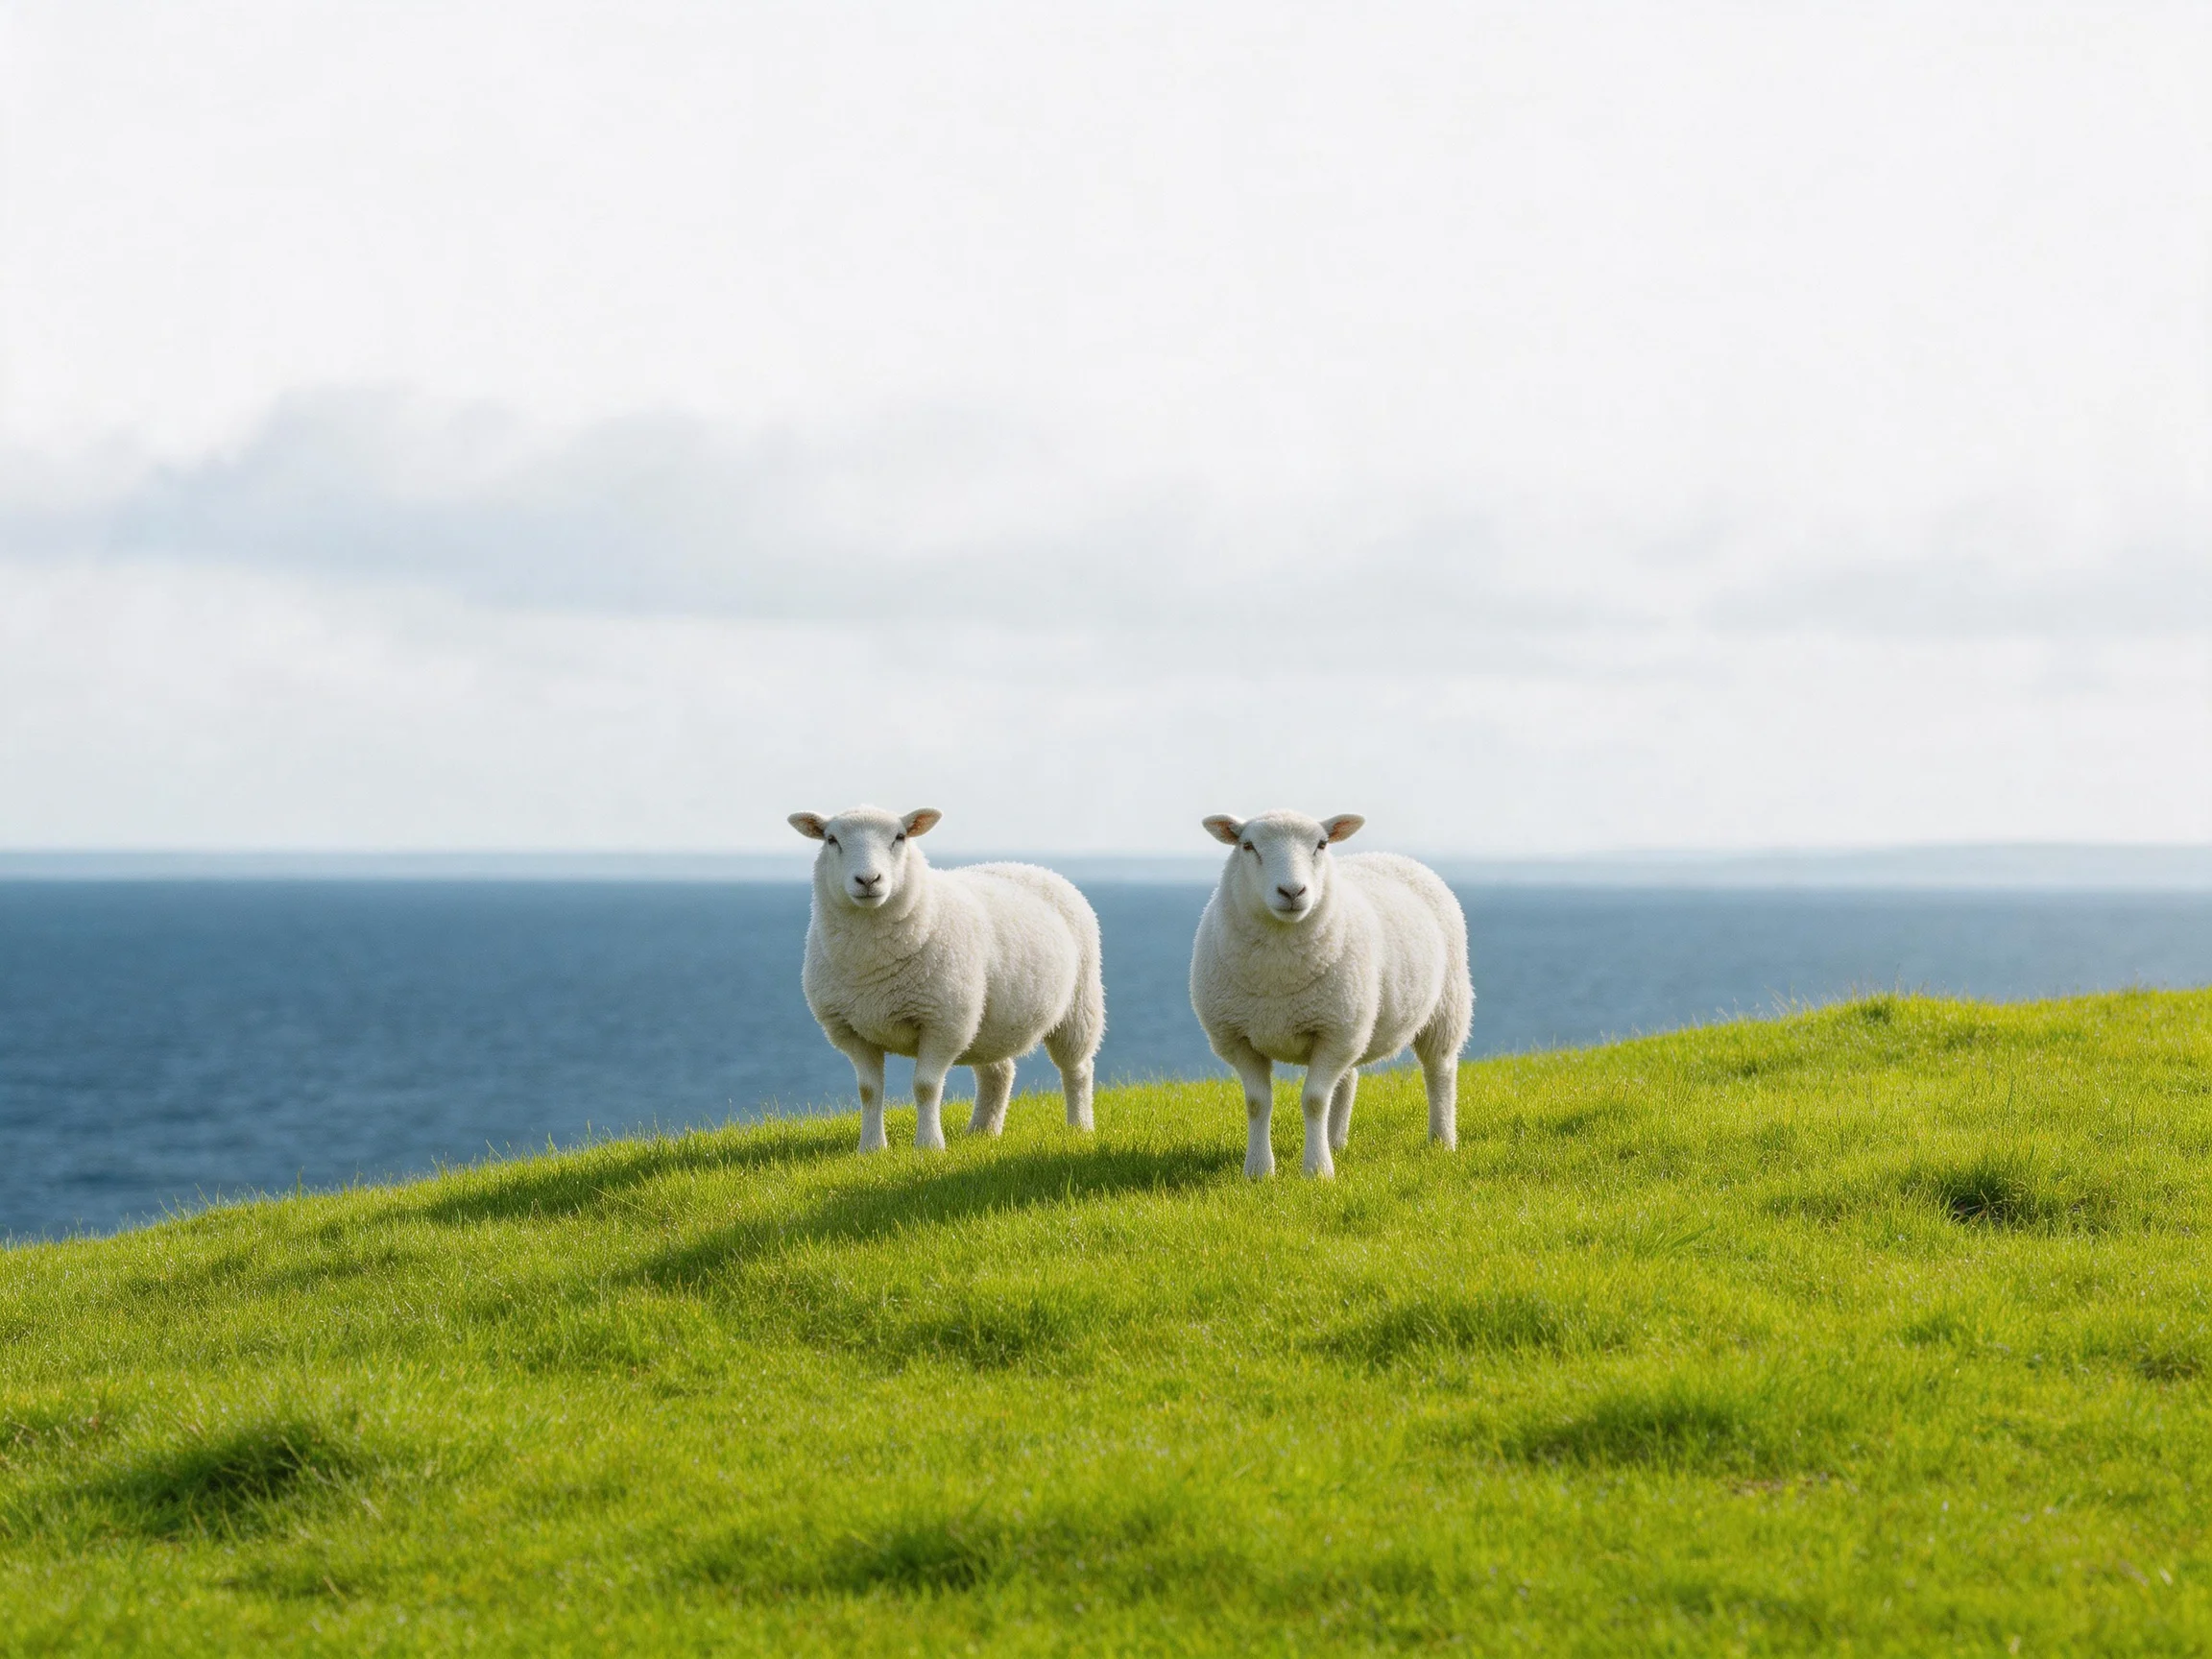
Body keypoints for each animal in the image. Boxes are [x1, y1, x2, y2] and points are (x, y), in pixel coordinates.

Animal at [788, 805, 1105, 1153]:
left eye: (900, 837)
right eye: (832, 839)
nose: (868, 880)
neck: (871, 965)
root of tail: (1034, 868)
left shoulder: (943, 1022)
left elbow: (926, 1086)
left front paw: (928, 1146)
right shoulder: (850, 1030)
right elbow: (869, 1090)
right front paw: (871, 1148)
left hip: (1079, 1005)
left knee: (1077, 1069)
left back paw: (1080, 1127)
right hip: (988, 1024)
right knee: (998, 1072)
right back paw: (982, 1131)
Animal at [1189, 810, 1472, 1179]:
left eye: (1321, 844)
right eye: (1248, 846)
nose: (1292, 891)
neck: (1278, 975)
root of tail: (1394, 856)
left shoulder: (1333, 1033)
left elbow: (1314, 1100)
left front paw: (1317, 1170)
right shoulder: (1239, 1037)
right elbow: (1257, 1103)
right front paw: (1259, 1170)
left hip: (1441, 1006)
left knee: (1440, 1071)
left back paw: (1441, 1140)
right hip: (1350, 1019)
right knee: (1347, 1078)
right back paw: (1336, 1141)